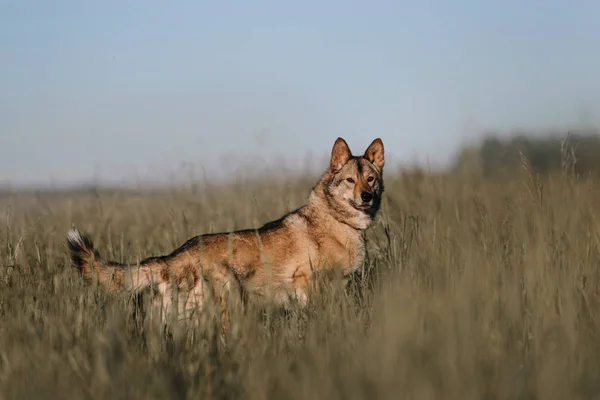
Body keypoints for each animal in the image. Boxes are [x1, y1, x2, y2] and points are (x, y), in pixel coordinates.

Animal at [65, 138, 384, 328]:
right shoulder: (306, 284)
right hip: (227, 306)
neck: (337, 220)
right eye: (350, 180)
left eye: (371, 179)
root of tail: (173, 257)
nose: (367, 196)